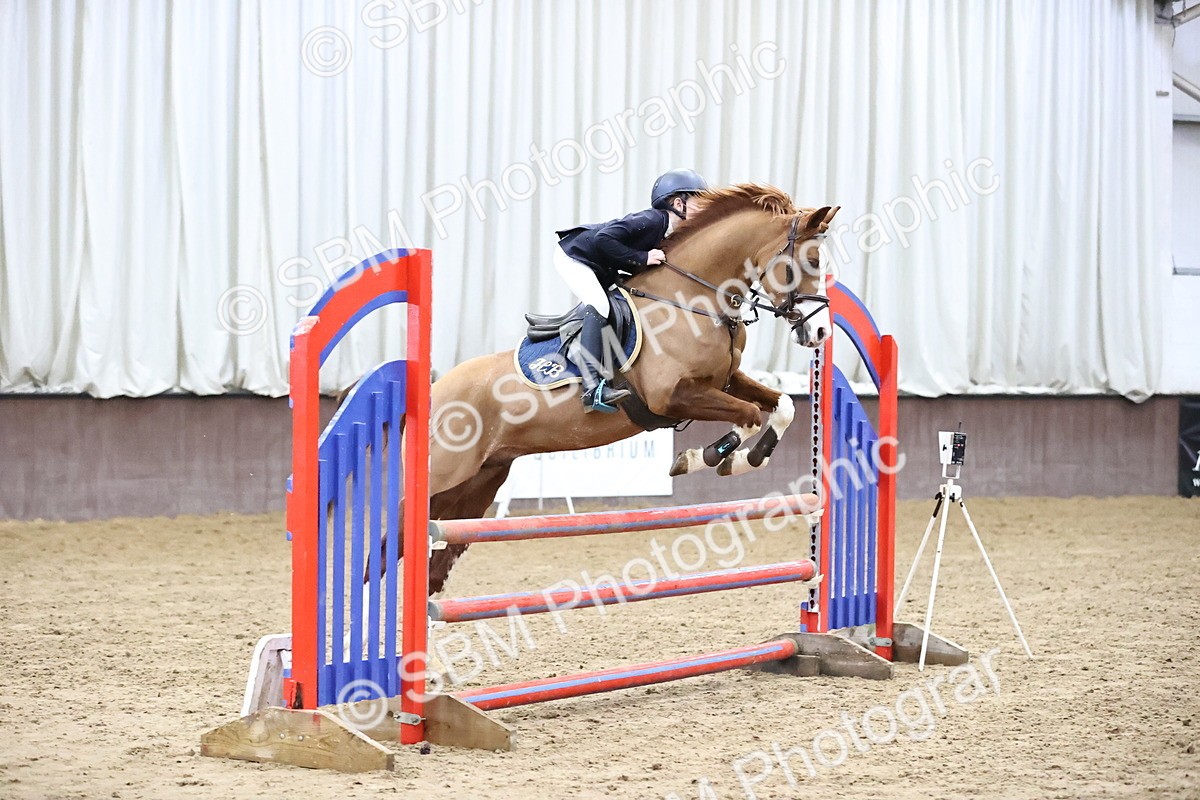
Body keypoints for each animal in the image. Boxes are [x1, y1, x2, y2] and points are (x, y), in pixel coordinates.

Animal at [411, 184, 840, 592]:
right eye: (812, 261)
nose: (821, 332)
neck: (694, 300)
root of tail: (438, 391)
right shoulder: (673, 396)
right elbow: (748, 417)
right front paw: (707, 458)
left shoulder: (725, 381)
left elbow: (784, 407)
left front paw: (748, 457)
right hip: (447, 472)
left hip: (478, 483)